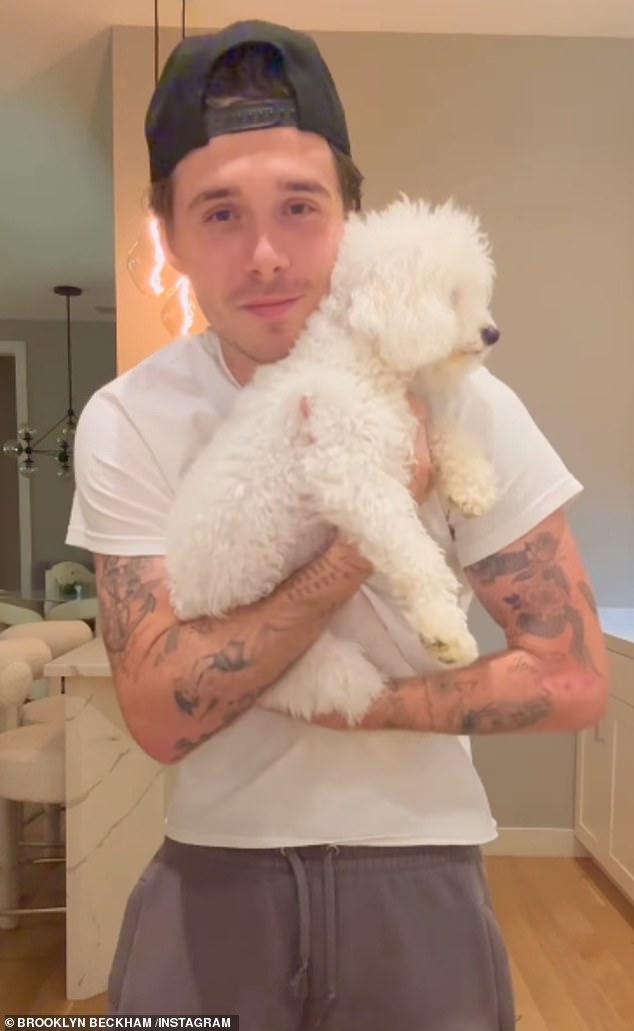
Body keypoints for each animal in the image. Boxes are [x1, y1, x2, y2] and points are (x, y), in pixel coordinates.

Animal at [167, 196, 501, 721]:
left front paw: (473, 484)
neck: (358, 357)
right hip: (253, 635)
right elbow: (413, 551)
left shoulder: (405, 427)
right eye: (451, 297)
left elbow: (446, 432)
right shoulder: (351, 472)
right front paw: (444, 630)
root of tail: (183, 598)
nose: (492, 333)